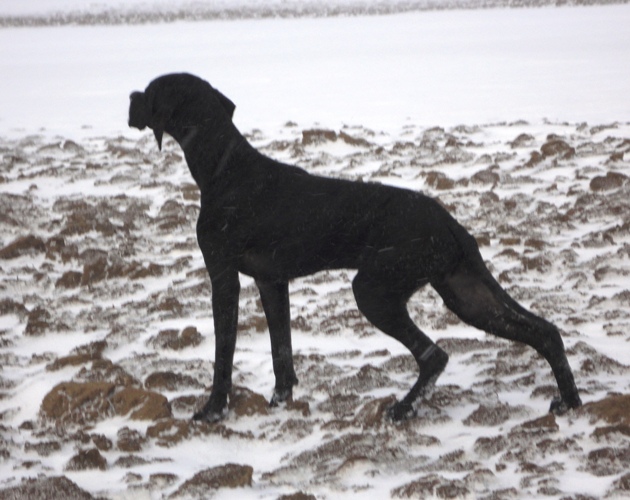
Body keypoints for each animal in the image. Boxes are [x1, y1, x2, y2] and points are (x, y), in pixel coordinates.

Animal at [129, 73, 582, 422]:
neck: (224, 168)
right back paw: (570, 402)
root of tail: (450, 224)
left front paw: (213, 411)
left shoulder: (224, 277)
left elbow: (224, 353)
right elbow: (281, 351)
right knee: (546, 333)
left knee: (434, 355)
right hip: (463, 291)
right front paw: (280, 403)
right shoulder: (272, 282)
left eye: (150, 92)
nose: (130, 97)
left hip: (374, 289)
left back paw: (402, 409)